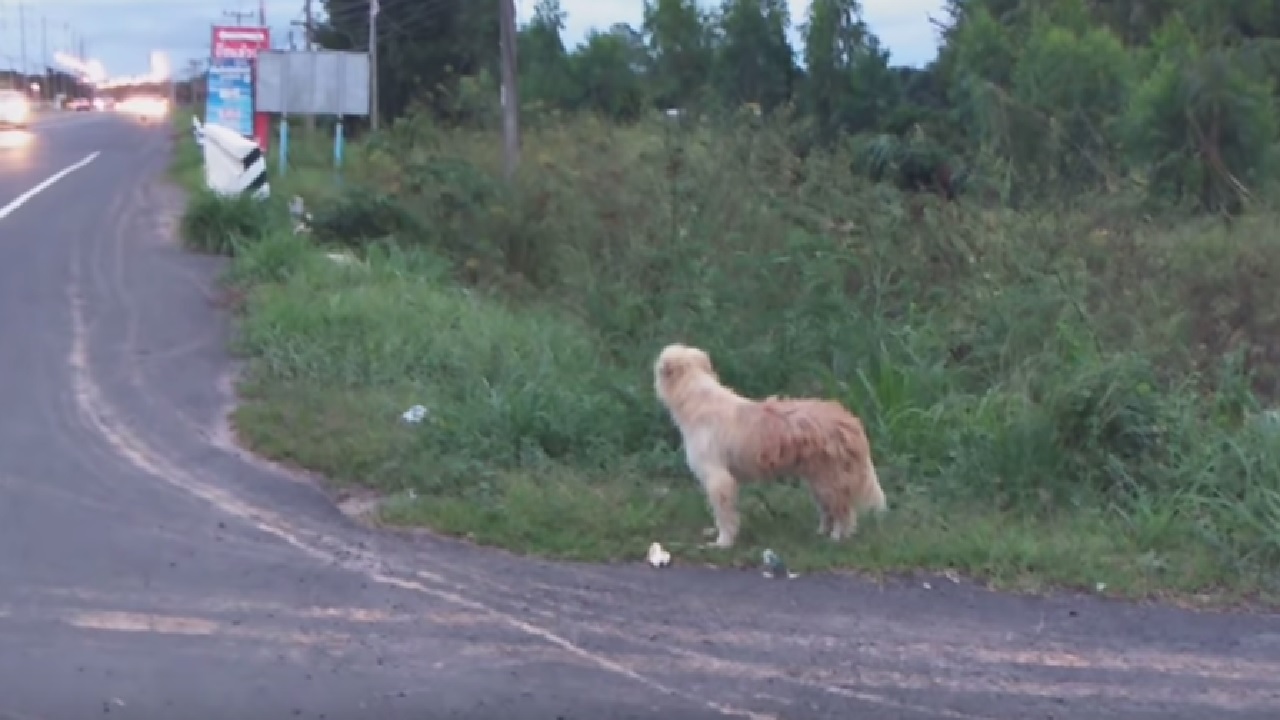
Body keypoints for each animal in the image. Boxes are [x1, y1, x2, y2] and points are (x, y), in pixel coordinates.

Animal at [655, 340, 885, 543]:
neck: (697, 397)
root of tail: (850, 420)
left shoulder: (718, 478)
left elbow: (724, 515)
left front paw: (723, 542)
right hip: (818, 480)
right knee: (830, 509)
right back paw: (821, 533)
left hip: (829, 480)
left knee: (844, 511)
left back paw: (836, 538)